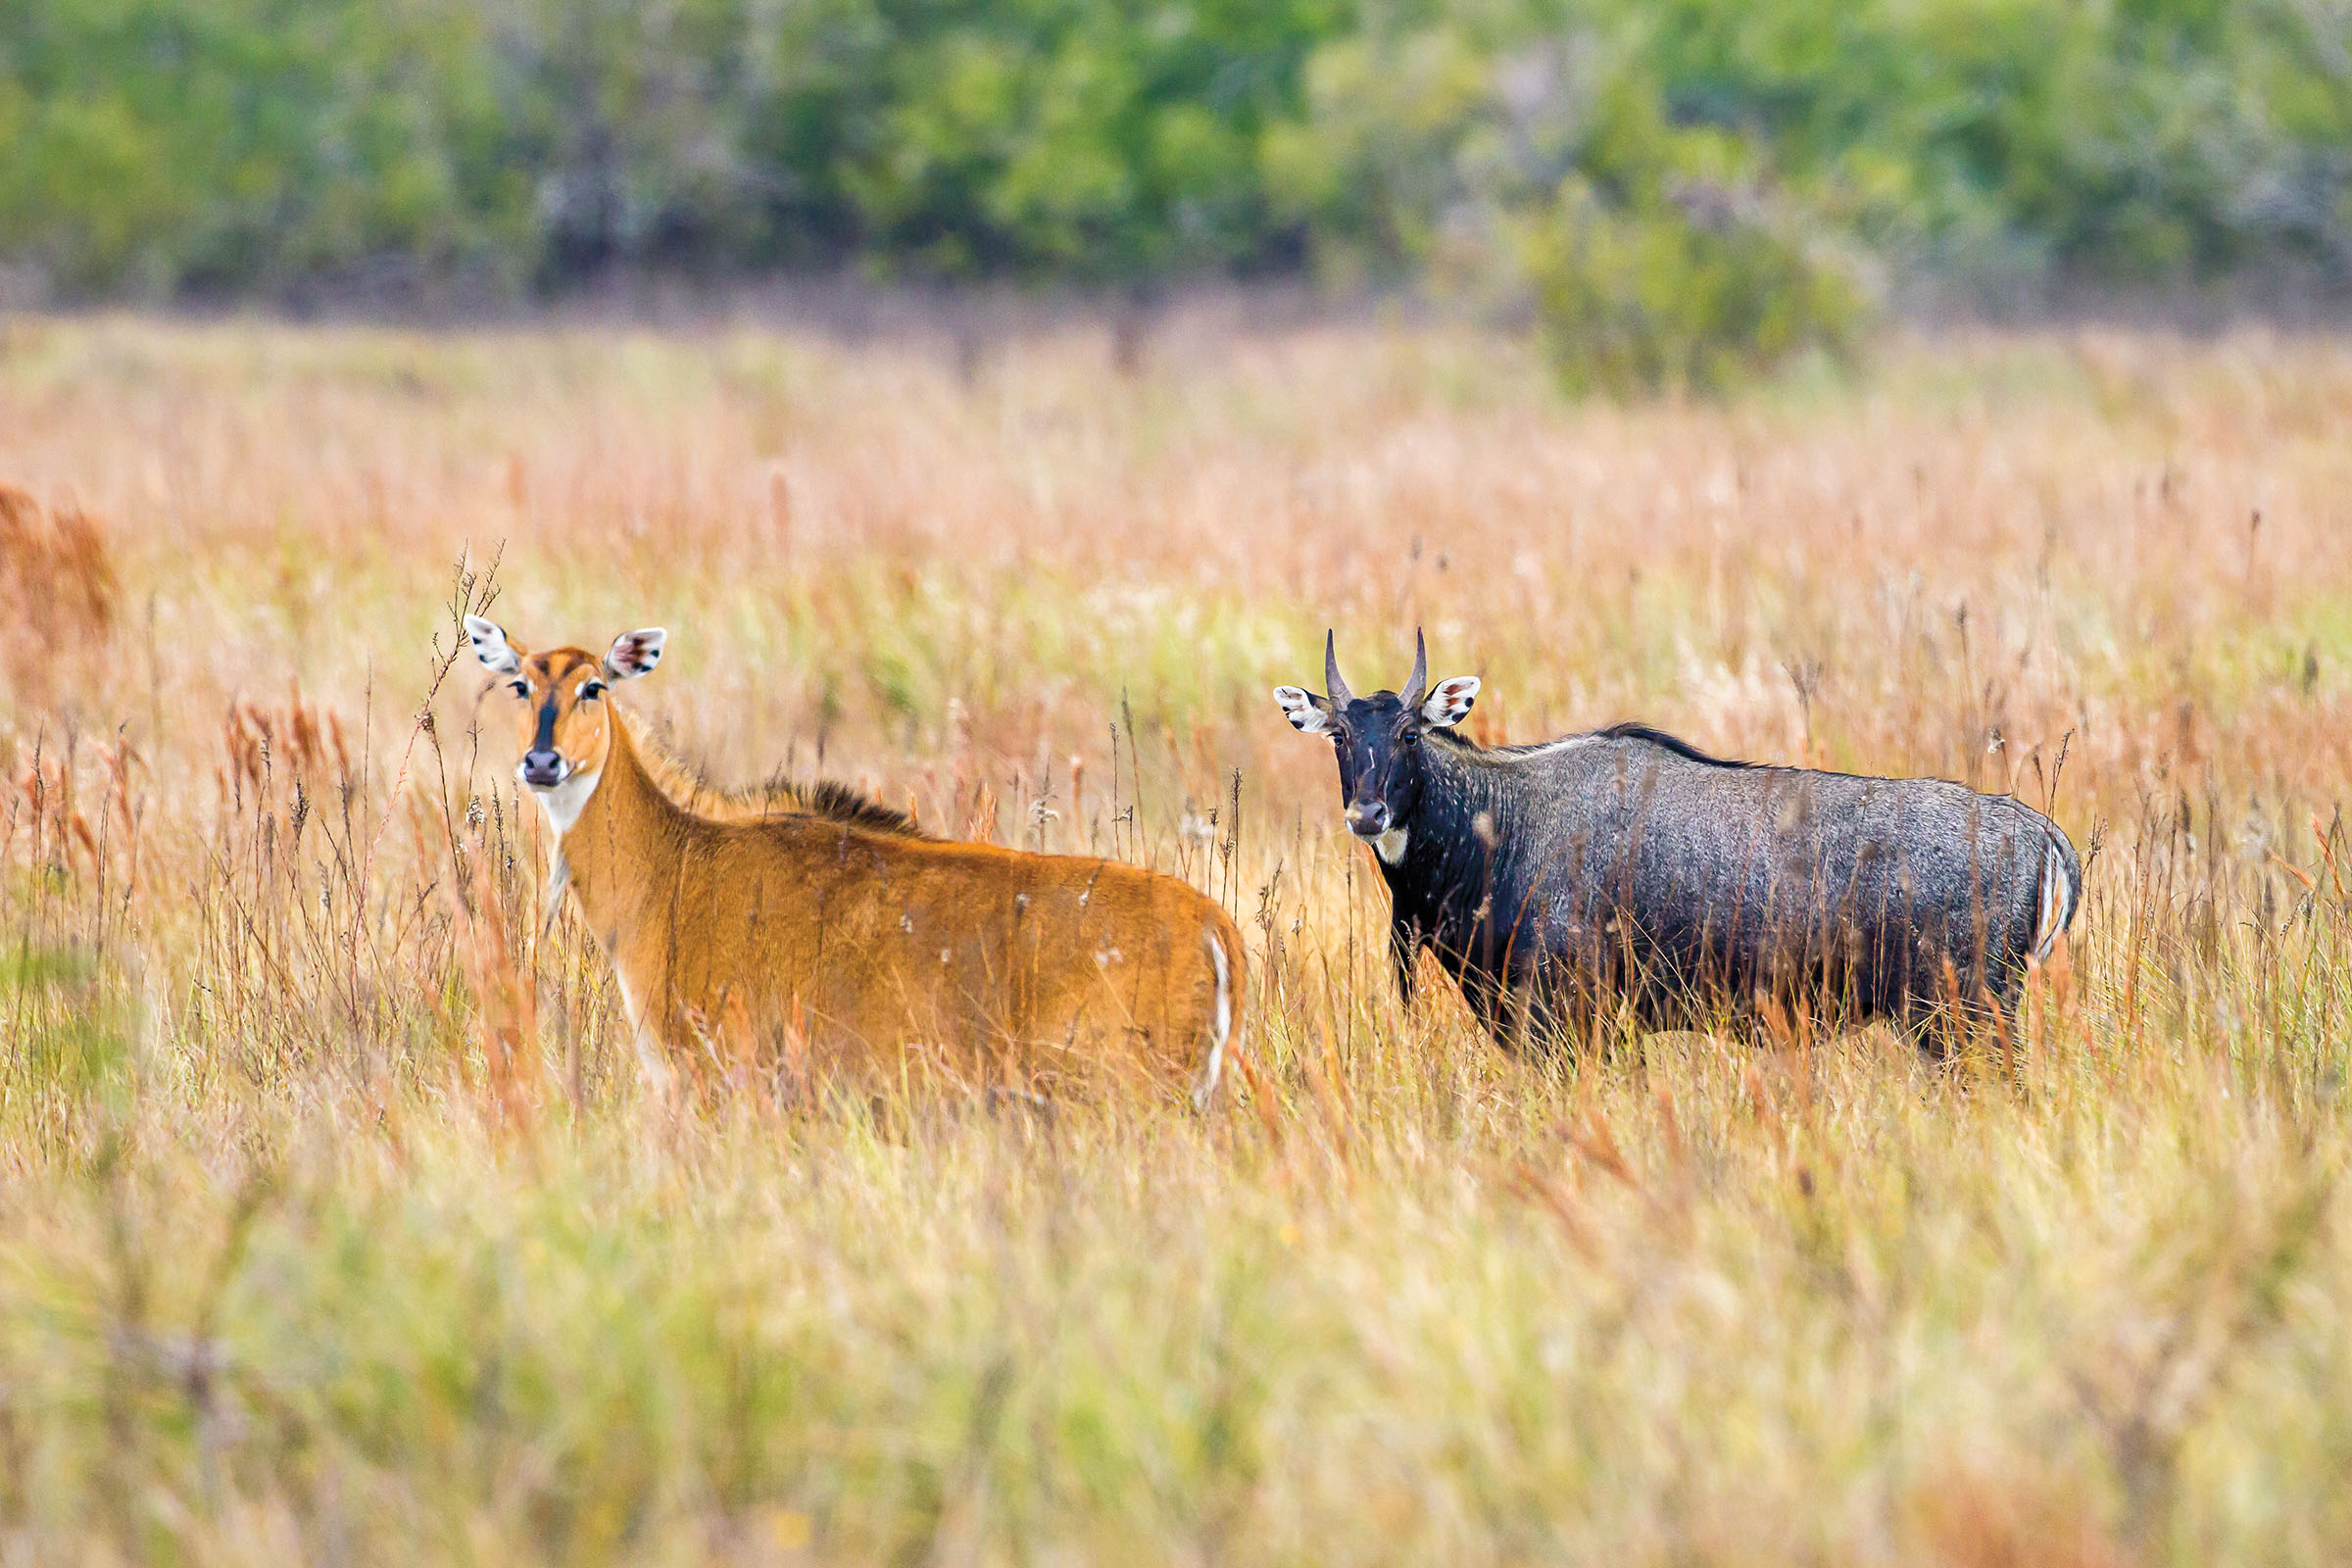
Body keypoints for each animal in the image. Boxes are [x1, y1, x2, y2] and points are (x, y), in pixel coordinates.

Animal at [1279, 629, 2088, 1048]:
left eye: (1411, 733)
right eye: (1340, 734)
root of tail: (2040, 834)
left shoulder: (1564, 1018)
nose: (1368, 814)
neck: (1502, 825)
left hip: (1968, 1017)